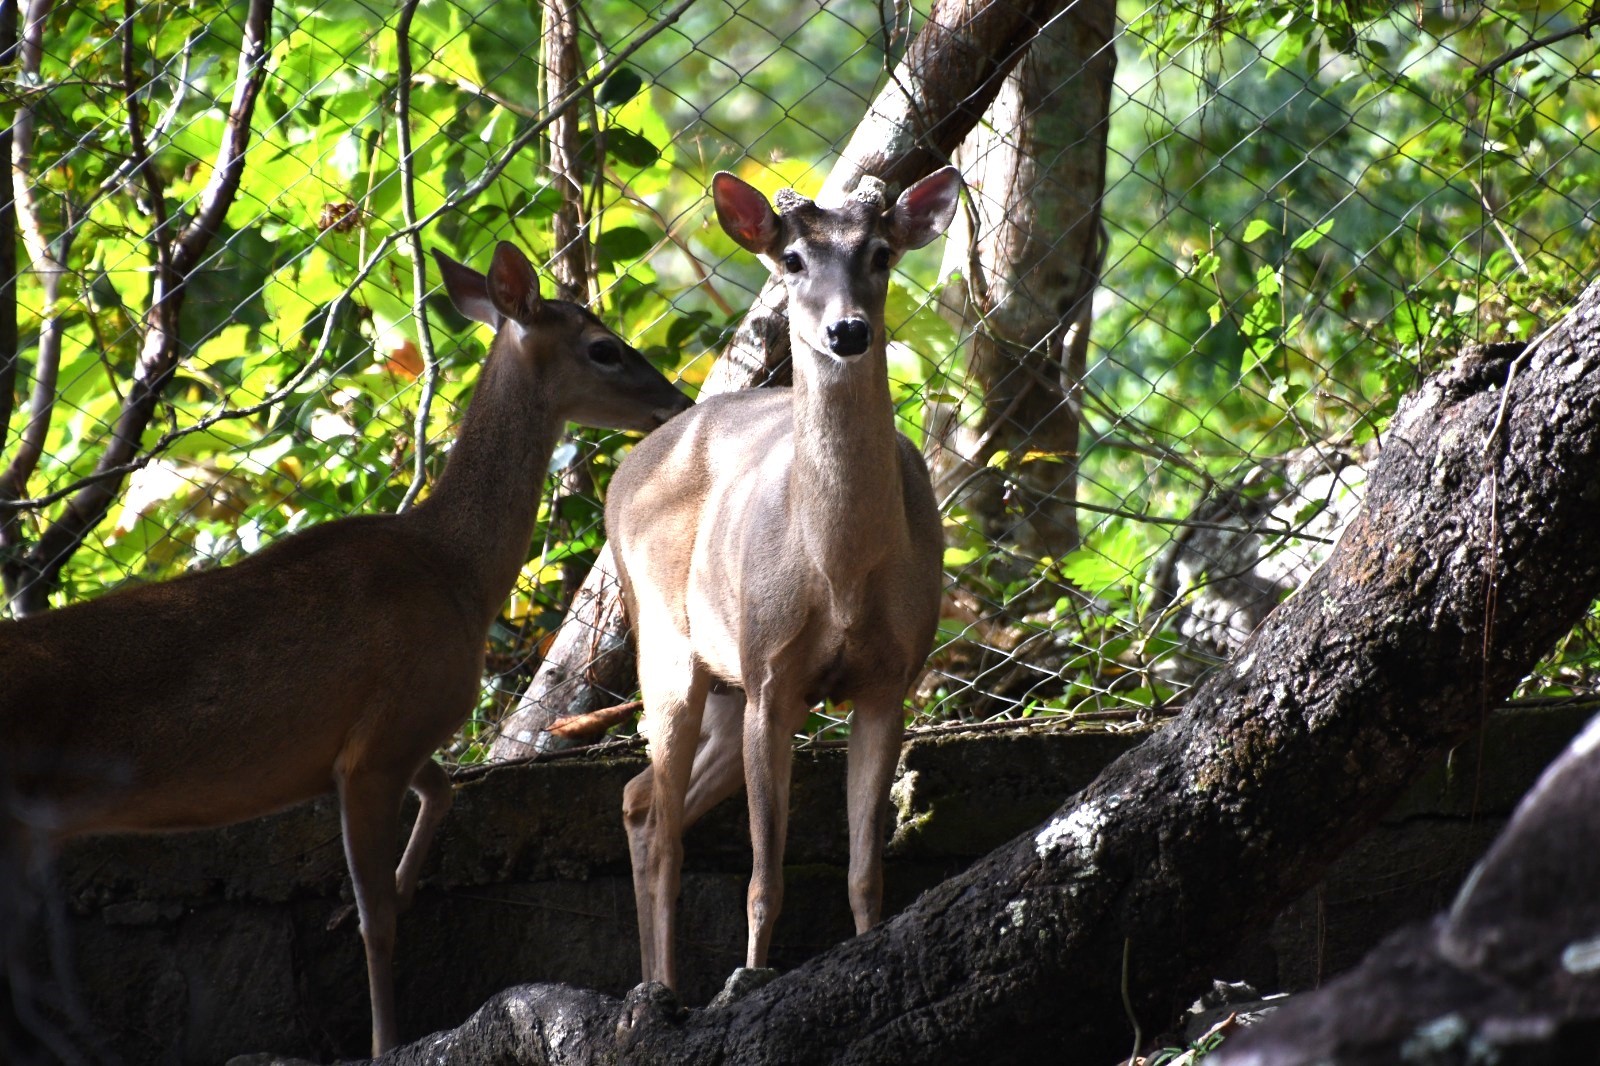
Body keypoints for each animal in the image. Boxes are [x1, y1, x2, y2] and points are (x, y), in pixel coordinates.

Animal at [0, 243, 688, 1056]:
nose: (677, 400)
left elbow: (441, 796)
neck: (454, 569)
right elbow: (376, 920)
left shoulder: (391, 733)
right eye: (604, 348)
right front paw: (387, 1041)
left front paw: (400, 885)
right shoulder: (376, 747)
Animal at [608, 166, 960, 985]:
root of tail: (621, 474)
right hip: (669, 648)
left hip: (726, 684)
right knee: (660, 813)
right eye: (793, 259)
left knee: (640, 800)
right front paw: (749, 979)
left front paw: (868, 955)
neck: (840, 570)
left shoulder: (889, 679)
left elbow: (865, 869)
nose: (848, 331)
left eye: (881, 253)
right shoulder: (773, 673)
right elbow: (764, 878)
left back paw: (658, 980)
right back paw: (664, 989)